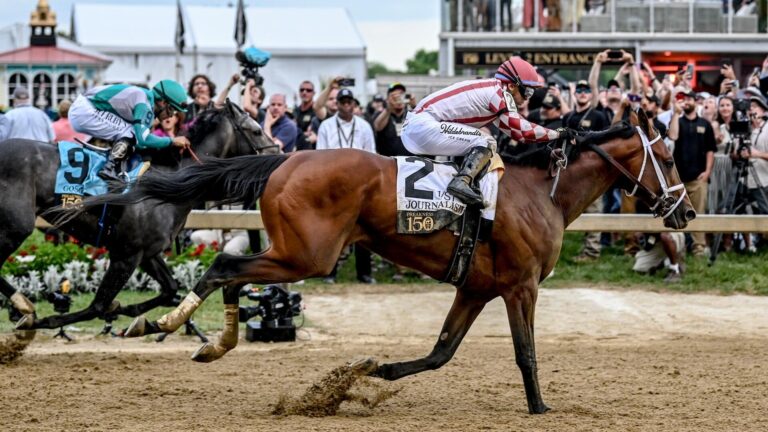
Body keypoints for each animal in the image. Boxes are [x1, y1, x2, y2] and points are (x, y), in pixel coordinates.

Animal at [1, 100, 277, 332]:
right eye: (255, 131)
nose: (279, 152)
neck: (171, 183)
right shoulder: (126, 254)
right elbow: (98, 306)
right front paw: (44, 320)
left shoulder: (147, 253)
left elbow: (170, 289)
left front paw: (130, 312)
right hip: (16, 227)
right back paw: (23, 304)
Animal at [74, 108, 695, 414]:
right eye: (665, 157)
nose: (686, 212)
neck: (542, 192)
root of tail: (283, 160)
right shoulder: (521, 286)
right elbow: (525, 354)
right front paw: (541, 408)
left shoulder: (475, 288)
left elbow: (440, 353)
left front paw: (367, 374)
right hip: (308, 254)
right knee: (225, 270)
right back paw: (162, 322)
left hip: (295, 253)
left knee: (230, 276)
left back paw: (211, 341)